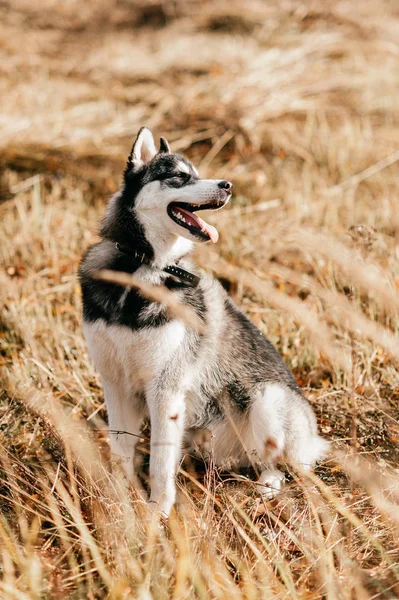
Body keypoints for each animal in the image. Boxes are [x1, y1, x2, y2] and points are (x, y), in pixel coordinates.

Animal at [79, 125, 330, 516]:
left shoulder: (166, 389)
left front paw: (158, 513)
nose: (227, 185)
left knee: (279, 467)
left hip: (266, 400)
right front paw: (119, 501)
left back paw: (266, 489)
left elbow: (159, 463)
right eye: (180, 177)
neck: (142, 269)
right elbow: (122, 452)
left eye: (197, 173)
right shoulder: (115, 383)